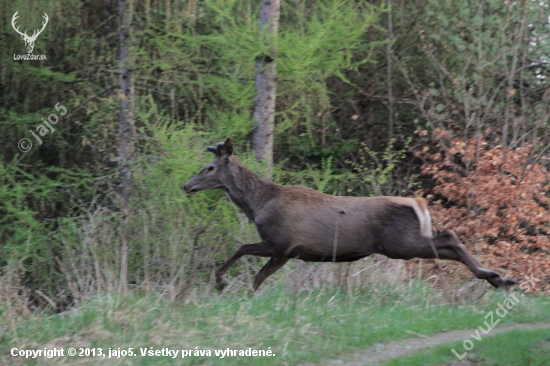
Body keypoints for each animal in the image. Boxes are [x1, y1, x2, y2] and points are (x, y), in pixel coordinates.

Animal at [184, 137, 516, 292]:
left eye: (209, 168)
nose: (186, 185)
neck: (258, 205)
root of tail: (420, 204)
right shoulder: (288, 251)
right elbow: (258, 275)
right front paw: (246, 295)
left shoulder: (282, 242)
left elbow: (244, 253)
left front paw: (221, 283)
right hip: (404, 243)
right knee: (448, 240)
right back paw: (498, 279)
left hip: (399, 244)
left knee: (448, 236)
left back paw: (496, 277)